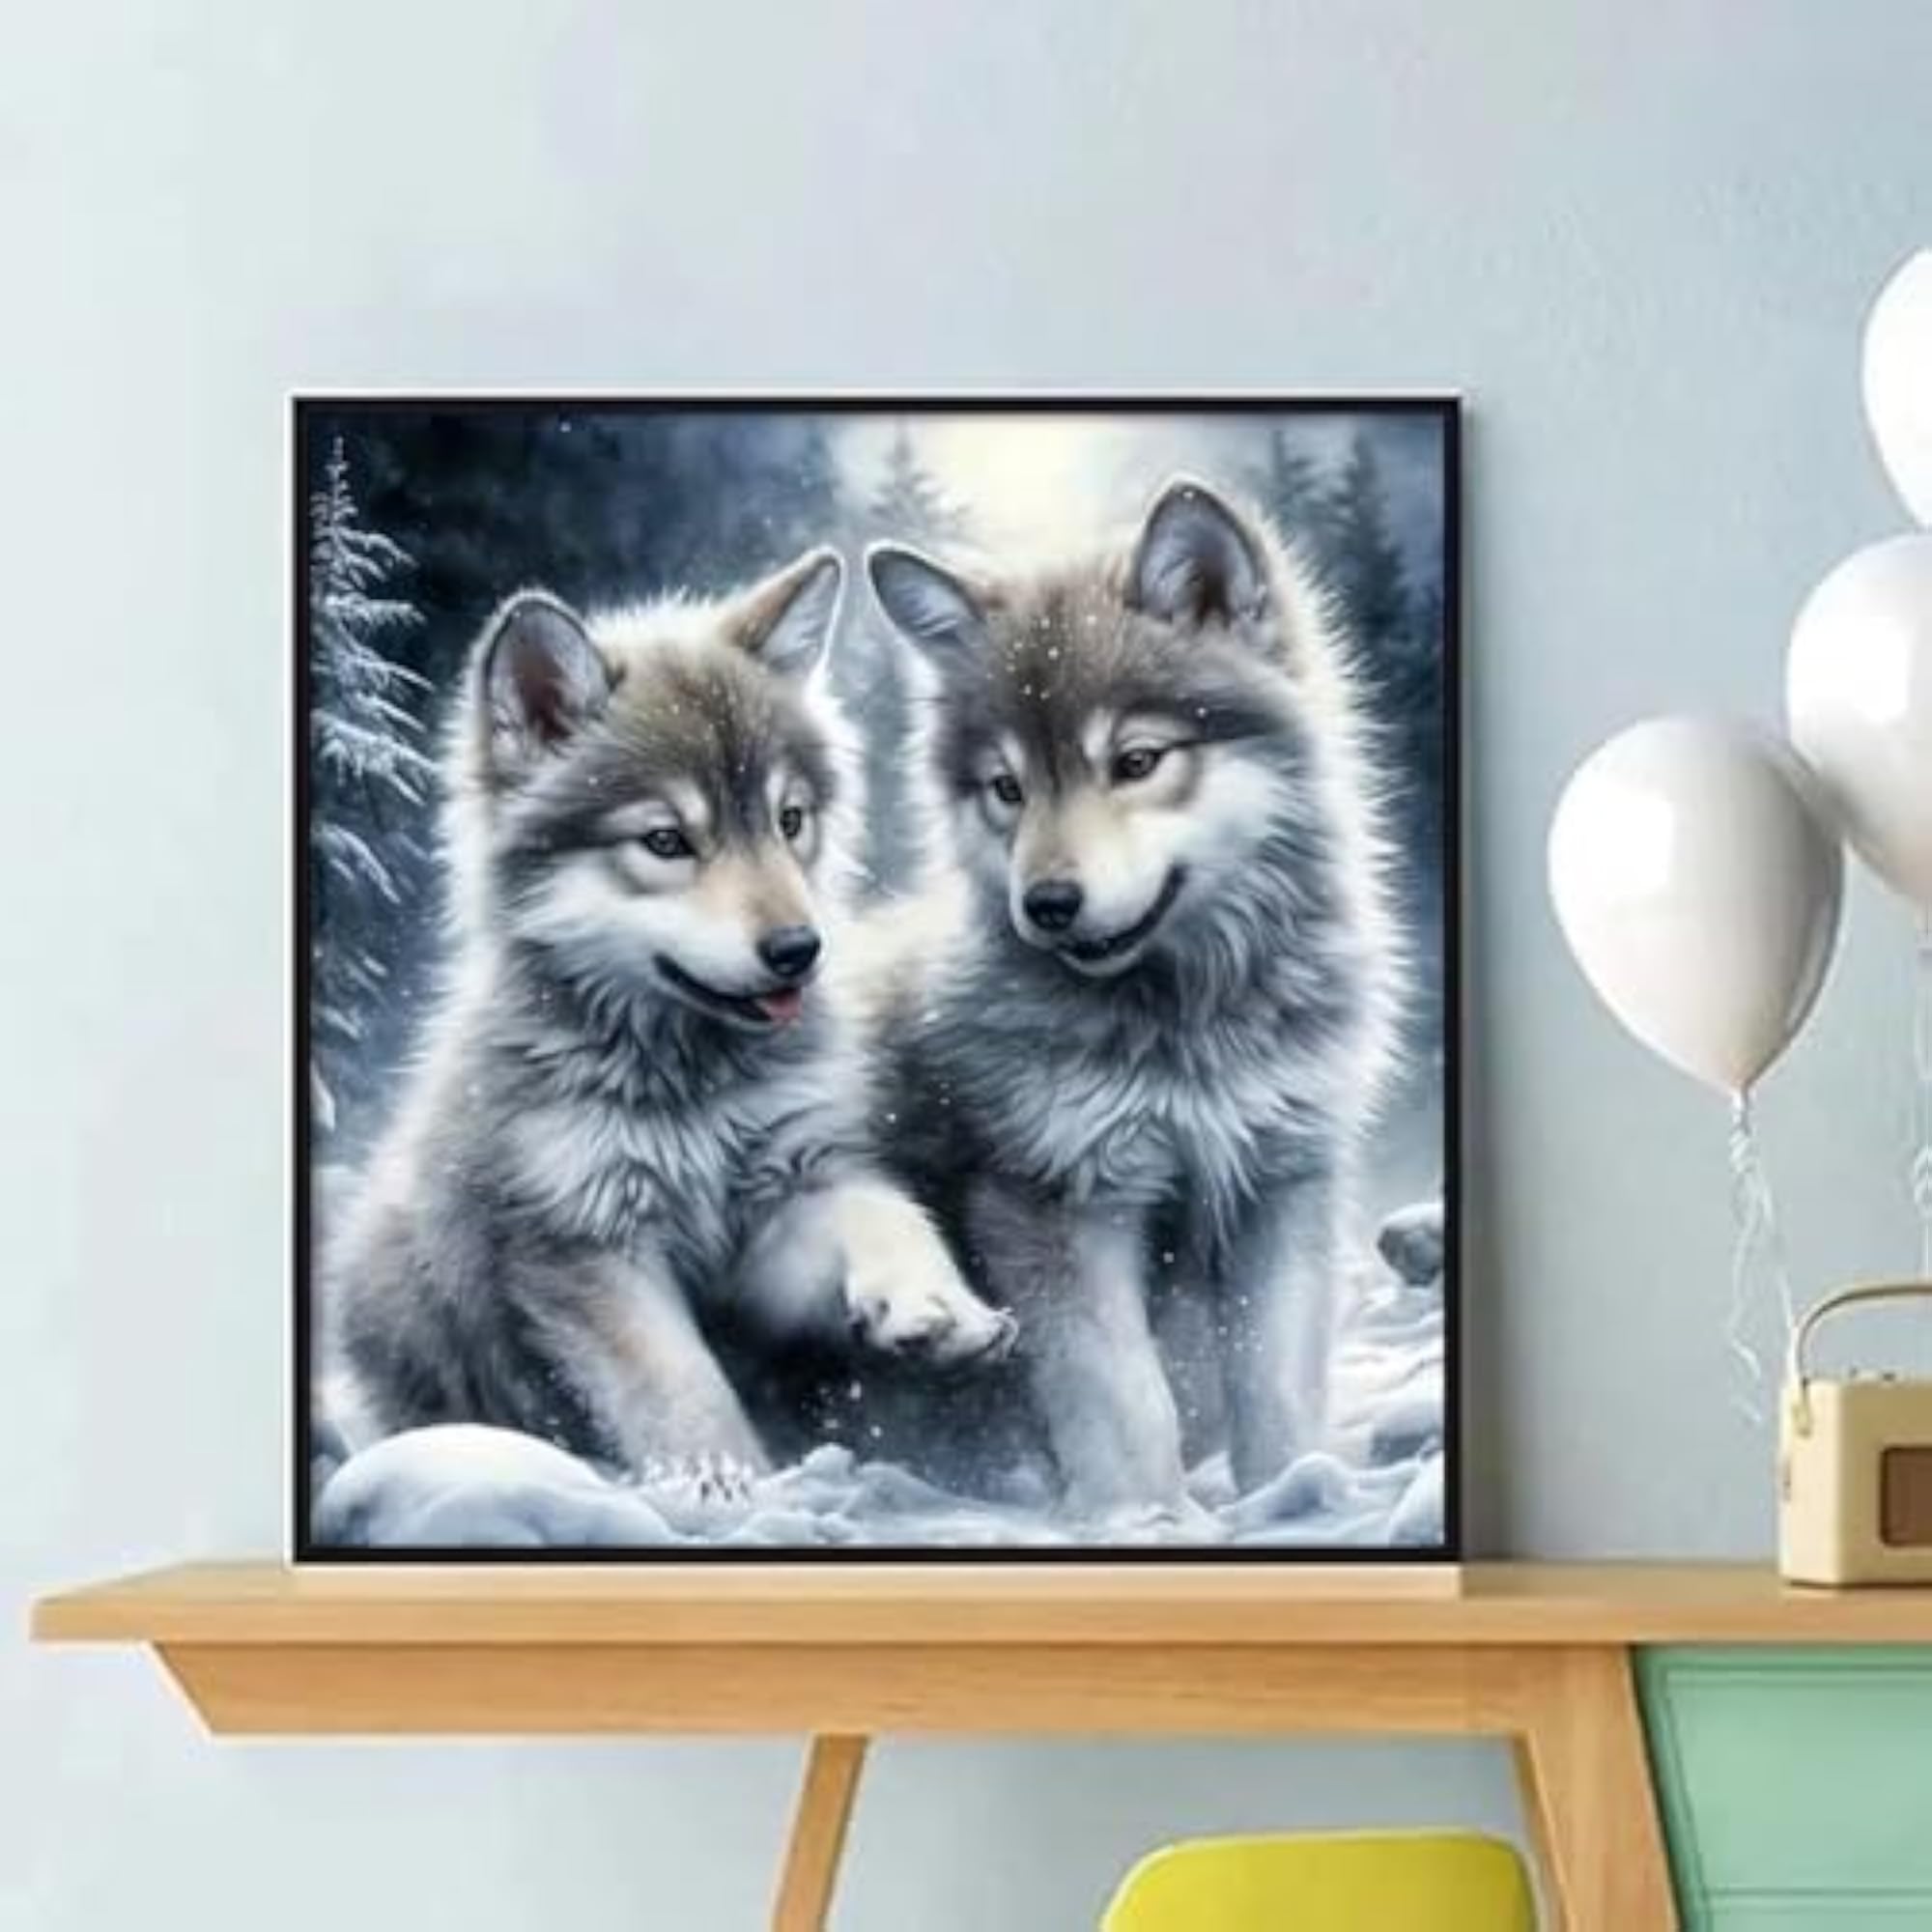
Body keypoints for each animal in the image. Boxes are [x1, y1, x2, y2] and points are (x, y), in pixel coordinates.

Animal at [325, 548, 1013, 1483]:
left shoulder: (785, 1199)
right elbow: (682, 1394)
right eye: (665, 841)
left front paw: (937, 1303)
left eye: (788, 820)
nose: (799, 949)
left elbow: (888, 1213)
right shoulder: (585, 1252)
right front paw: (730, 1486)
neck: (691, 1084)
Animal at [861, 479, 1401, 1516]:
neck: (1191, 1020)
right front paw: (1145, 1517)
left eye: (1137, 762)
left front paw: (1295, 1496)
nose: (1047, 905)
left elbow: (1274, 1382)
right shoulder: (1058, 1203)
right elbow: (1124, 1395)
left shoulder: (1283, 1184)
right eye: (1006, 788)